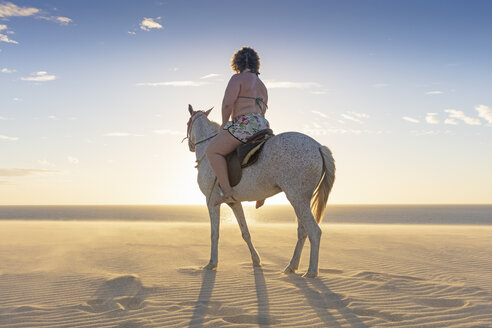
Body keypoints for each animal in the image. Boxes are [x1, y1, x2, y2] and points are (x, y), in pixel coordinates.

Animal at [186, 104, 336, 276]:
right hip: (302, 200)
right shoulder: (234, 203)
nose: (190, 146)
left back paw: (311, 272)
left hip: (297, 199)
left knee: (314, 232)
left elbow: (214, 234)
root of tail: (318, 146)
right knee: (303, 232)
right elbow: (245, 232)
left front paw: (212, 263)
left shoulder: (211, 201)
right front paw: (256, 260)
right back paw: (291, 266)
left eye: (187, 123)